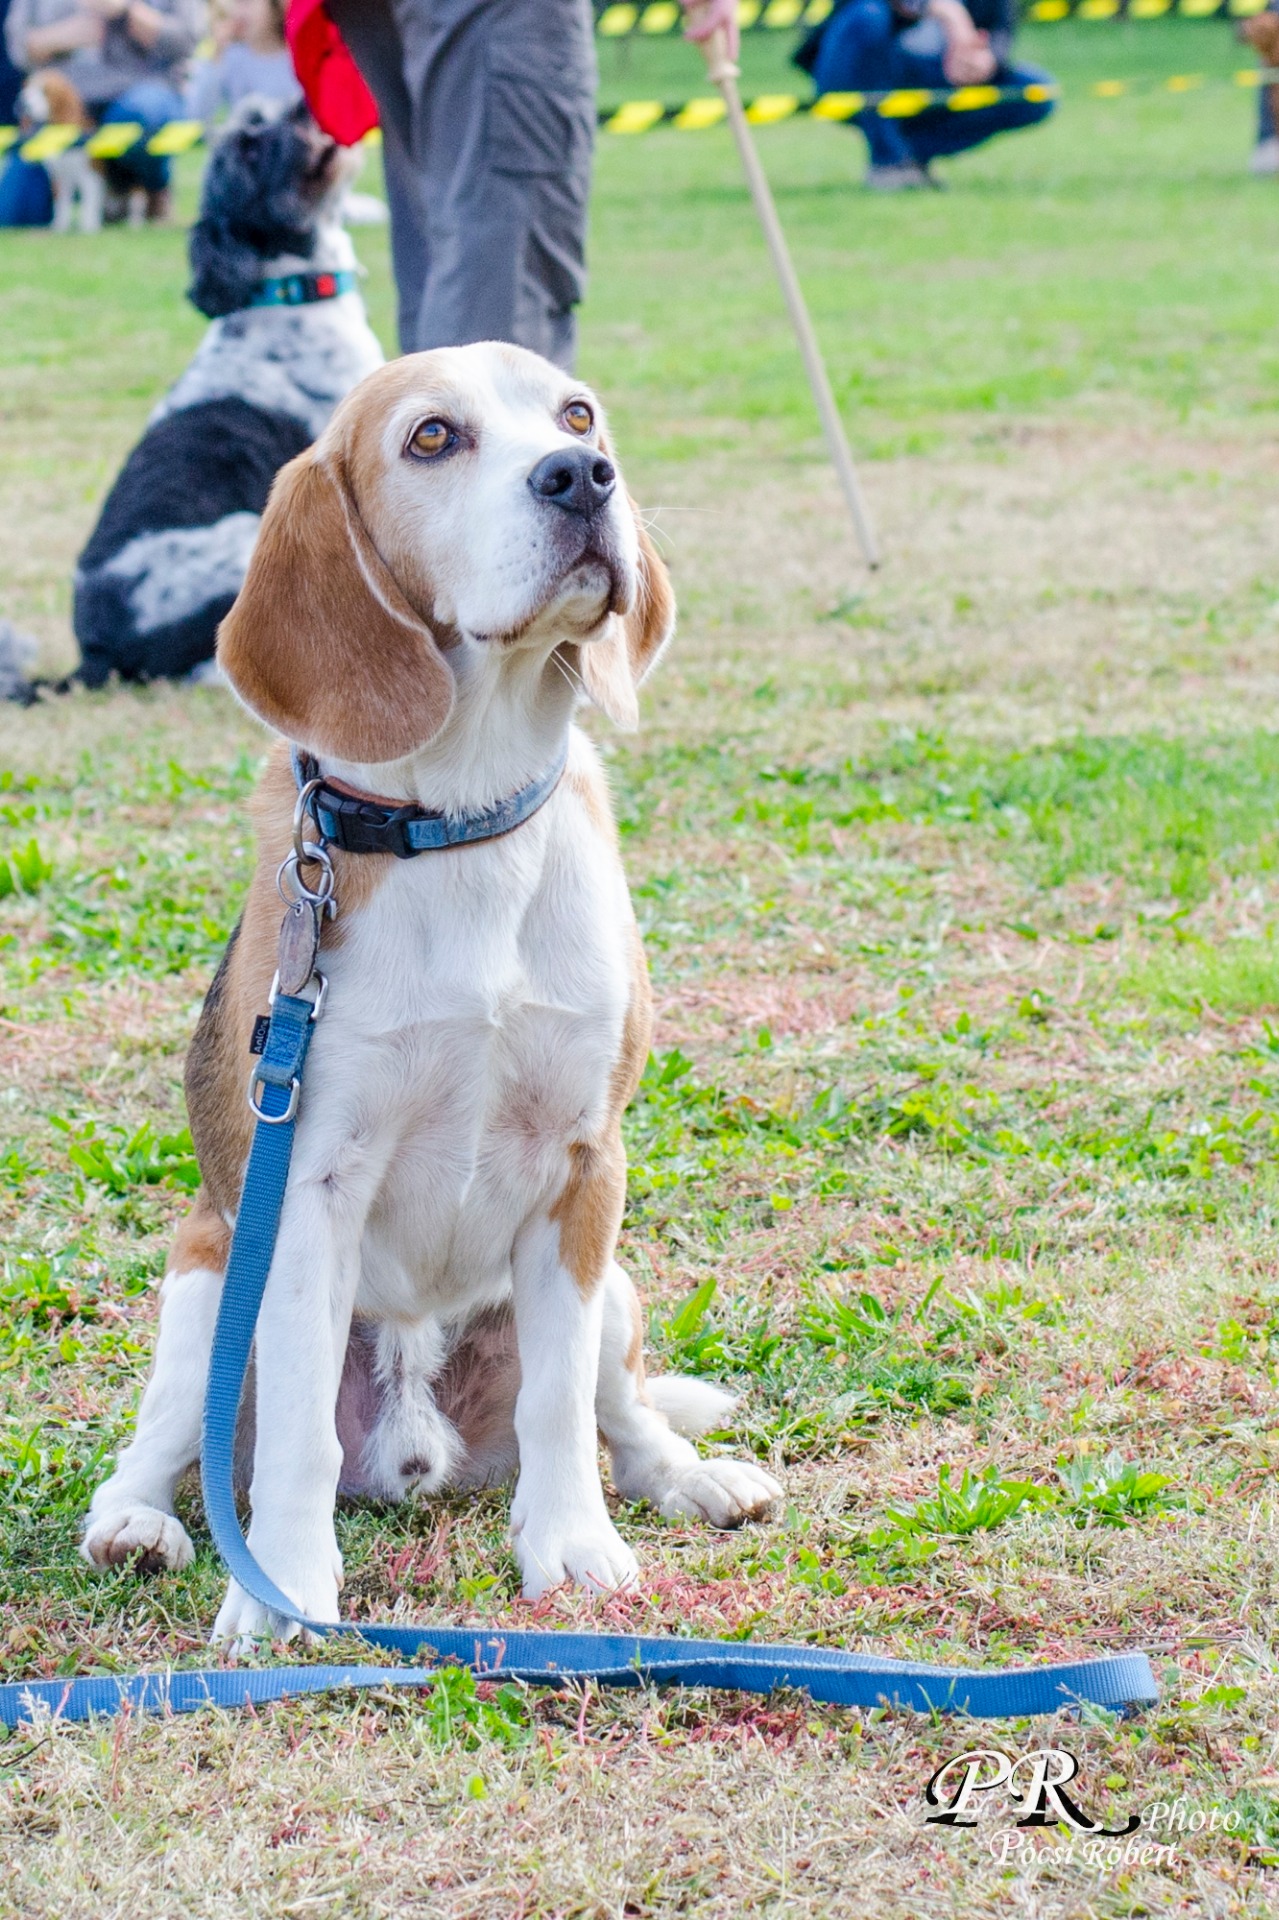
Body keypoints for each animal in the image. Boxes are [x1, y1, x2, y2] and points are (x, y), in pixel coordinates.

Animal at [18, 68, 103, 234]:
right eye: (27, 87)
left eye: (45, 91)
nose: (22, 103)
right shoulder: (58, 176)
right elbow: (61, 204)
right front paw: (59, 227)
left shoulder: (89, 173)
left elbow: (89, 202)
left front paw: (89, 227)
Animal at [69, 96, 382, 691]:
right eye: (249, 148)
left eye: (267, 111)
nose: (302, 104)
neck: (288, 292)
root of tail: (94, 652)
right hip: (247, 540)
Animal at [81, 344, 783, 1638]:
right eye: (431, 439)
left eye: (577, 414)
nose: (581, 477)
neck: (464, 823)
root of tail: (416, 1460)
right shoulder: (308, 1185)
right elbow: (295, 1437)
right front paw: (284, 1594)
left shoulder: (585, 1167)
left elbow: (560, 1408)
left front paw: (573, 1550)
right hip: (202, 1282)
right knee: (165, 1449)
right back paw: (136, 1528)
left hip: (617, 1287)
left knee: (619, 1413)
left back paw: (689, 1477)